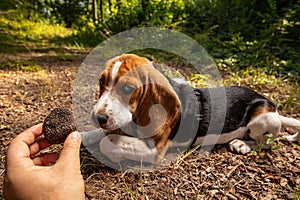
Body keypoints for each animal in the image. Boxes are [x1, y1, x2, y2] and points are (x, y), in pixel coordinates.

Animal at [91, 53, 300, 164]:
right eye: (101, 82)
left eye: (128, 89)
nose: (97, 118)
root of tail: (273, 108)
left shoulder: (156, 149)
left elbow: (108, 141)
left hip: (262, 121)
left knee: (267, 143)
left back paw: (242, 144)